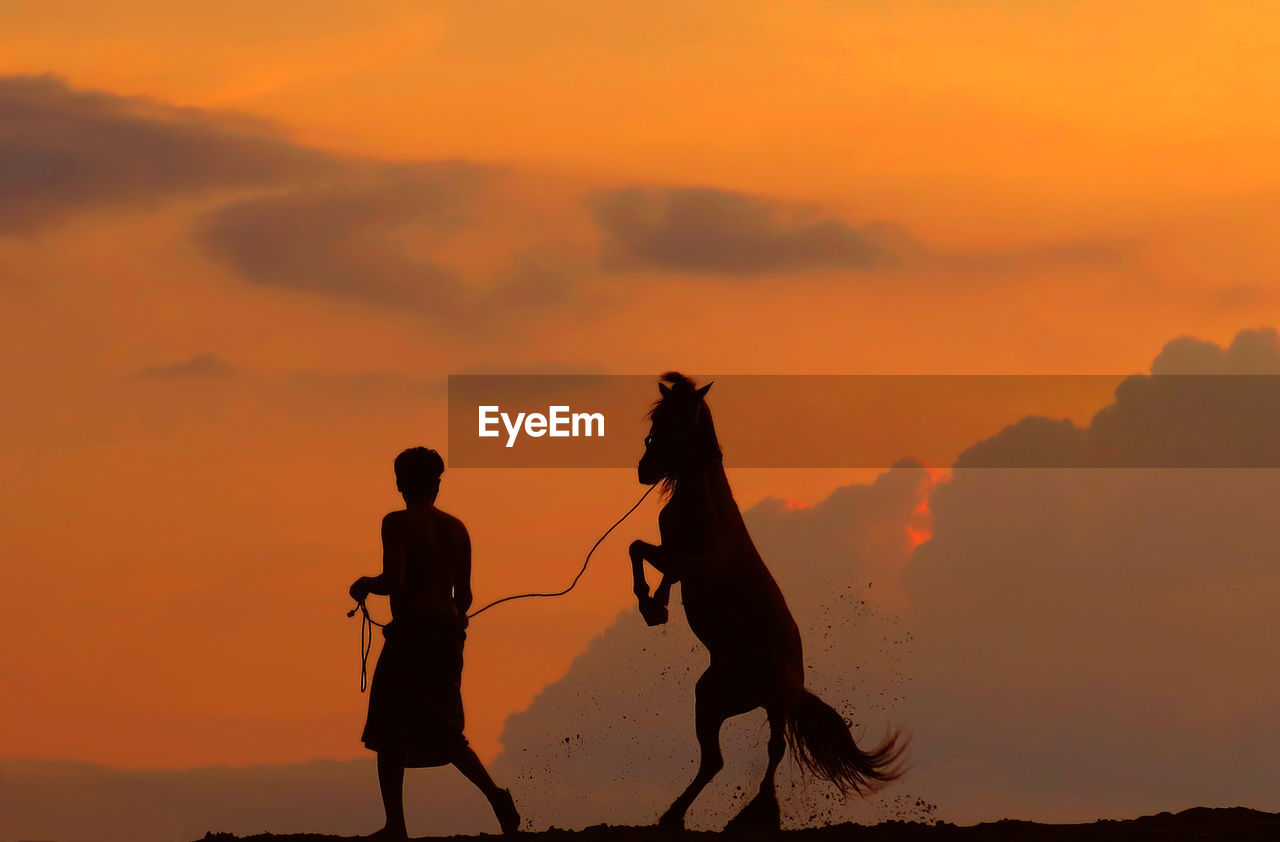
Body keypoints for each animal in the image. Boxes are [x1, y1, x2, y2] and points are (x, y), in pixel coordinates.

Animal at [627, 371, 906, 824]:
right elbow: (640, 550)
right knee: (714, 761)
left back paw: (757, 811)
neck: (702, 501)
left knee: (774, 750)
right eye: (657, 418)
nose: (645, 470)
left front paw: (653, 604)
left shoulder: (700, 563)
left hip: (774, 706)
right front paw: (653, 606)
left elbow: (658, 561)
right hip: (710, 700)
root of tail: (796, 685)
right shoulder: (671, 550)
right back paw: (674, 816)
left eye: (683, 421)